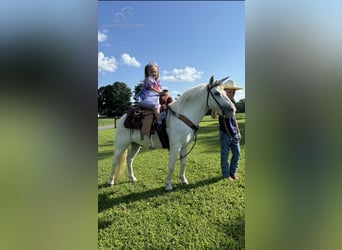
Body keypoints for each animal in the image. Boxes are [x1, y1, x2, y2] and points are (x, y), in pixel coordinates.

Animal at [108, 75, 236, 190]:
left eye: (225, 92)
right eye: (217, 93)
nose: (232, 109)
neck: (182, 116)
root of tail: (123, 117)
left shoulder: (184, 146)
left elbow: (183, 163)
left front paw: (183, 180)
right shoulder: (175, 147)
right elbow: (171, 165)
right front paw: (168, 185)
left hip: (136, 144)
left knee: (129, 159)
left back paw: (132, 178)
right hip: (121, 145)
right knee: (114, 161)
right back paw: (111, 181)